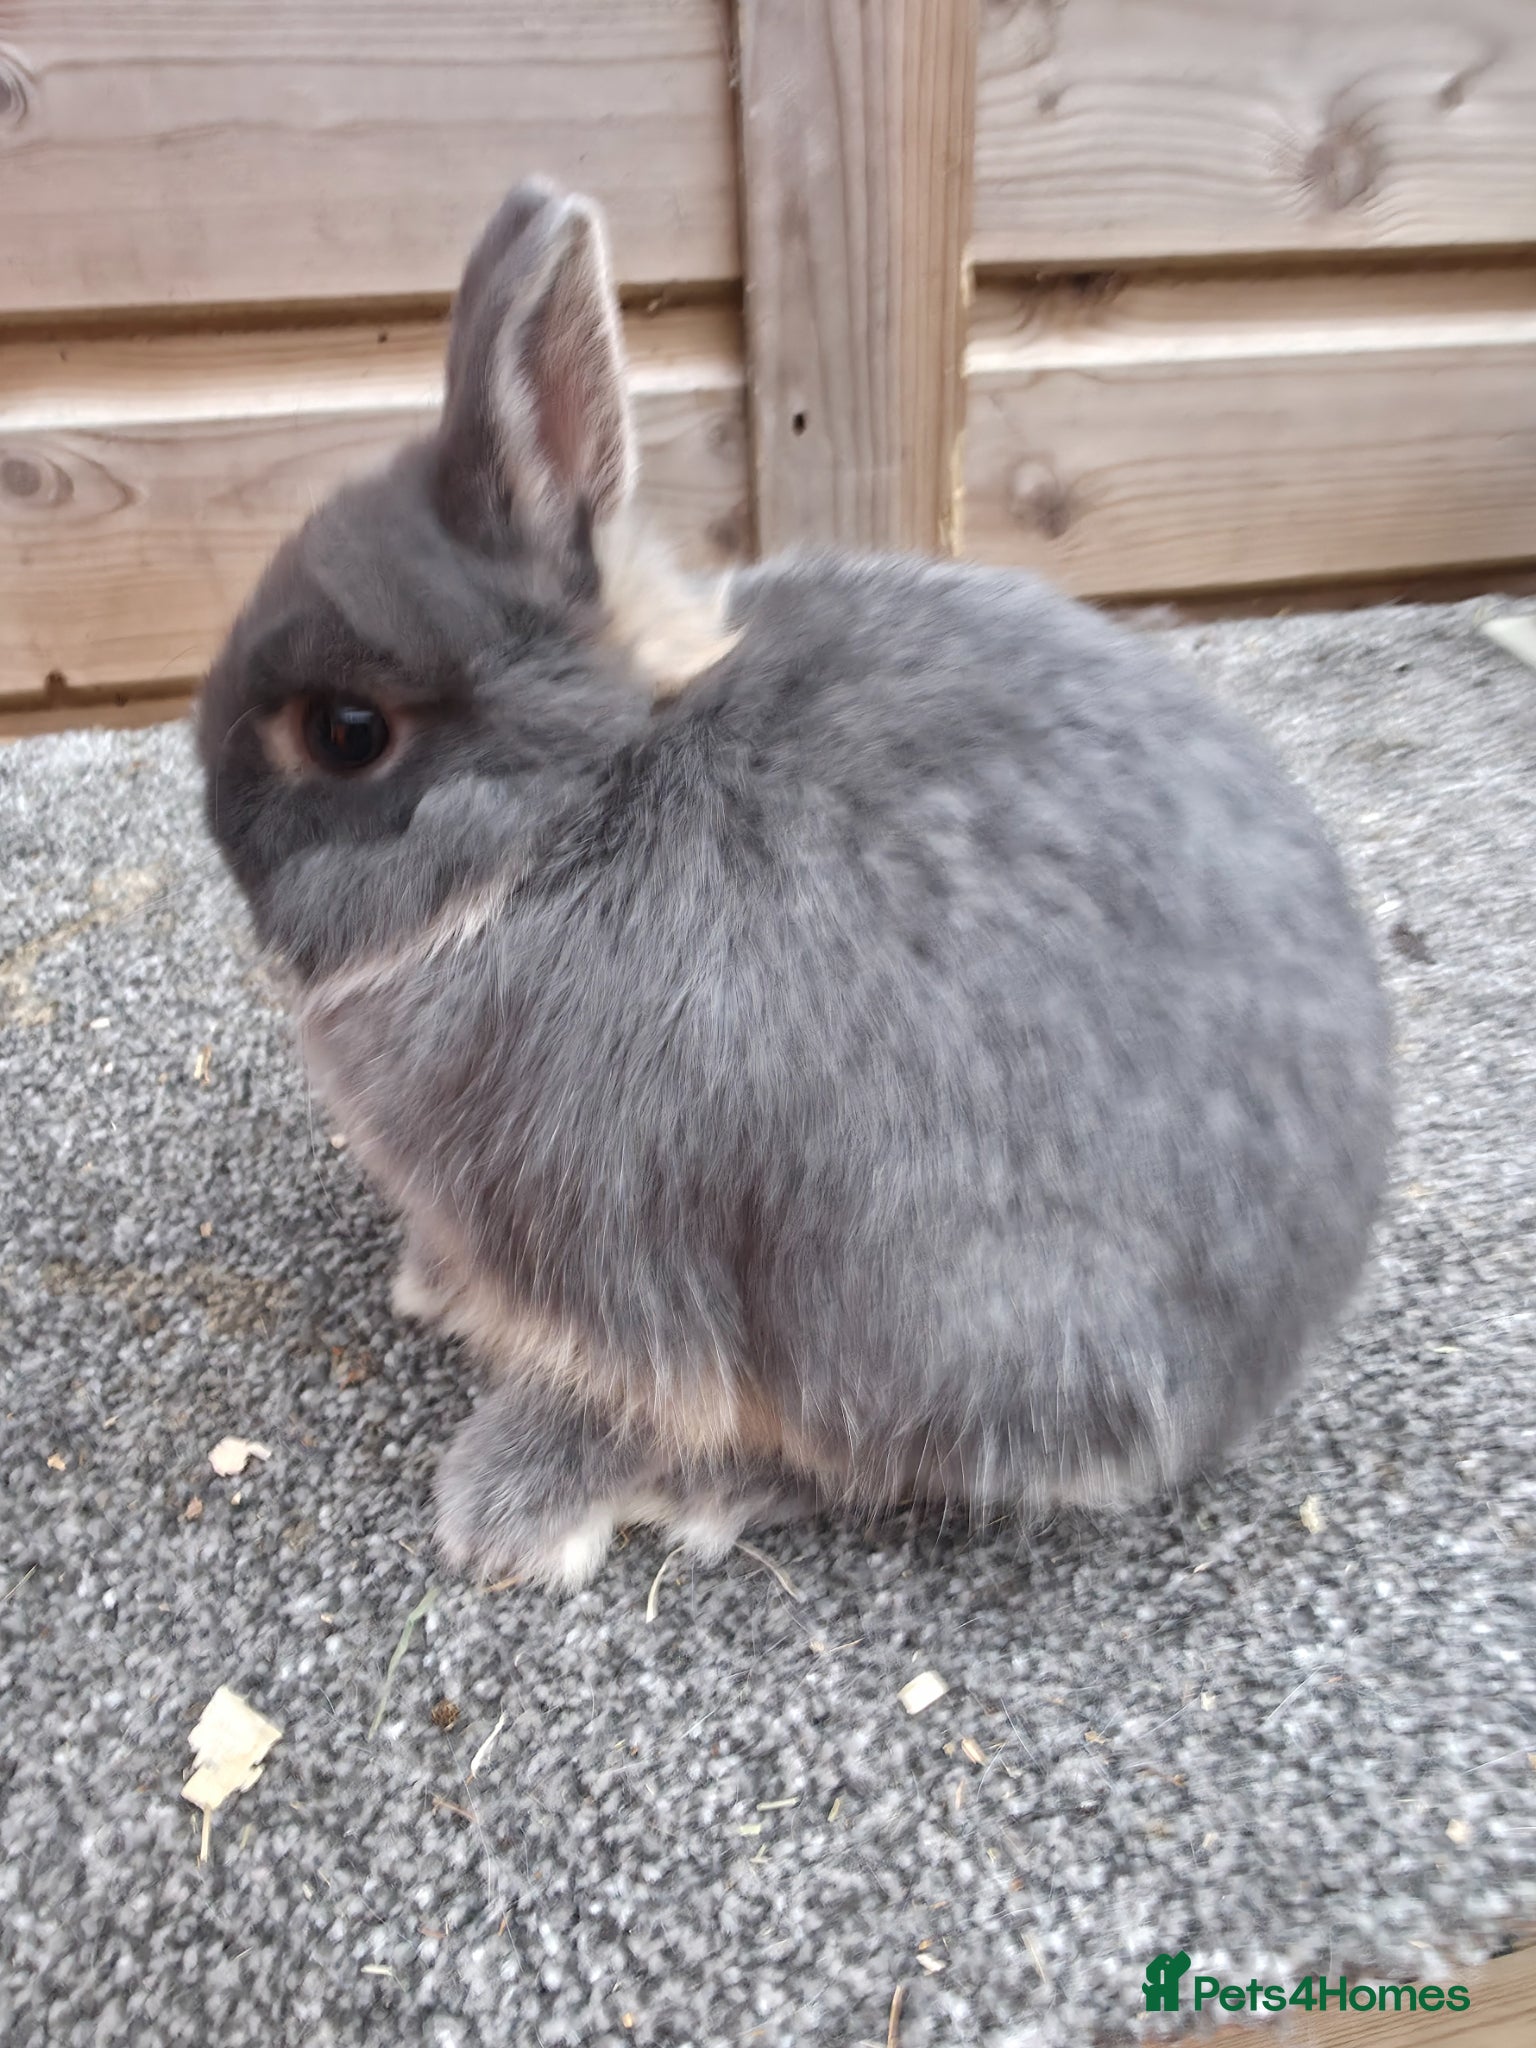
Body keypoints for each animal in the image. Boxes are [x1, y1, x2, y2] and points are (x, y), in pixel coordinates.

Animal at [197, 178, 1392, 1590]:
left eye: (347, 733)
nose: (217, 821)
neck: (577, 811)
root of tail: (1268, 1351)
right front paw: (428, 1284)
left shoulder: (624, 1251)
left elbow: (643, 1387)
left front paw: (506, 1503)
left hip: (915, 1305)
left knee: (874, 1451)